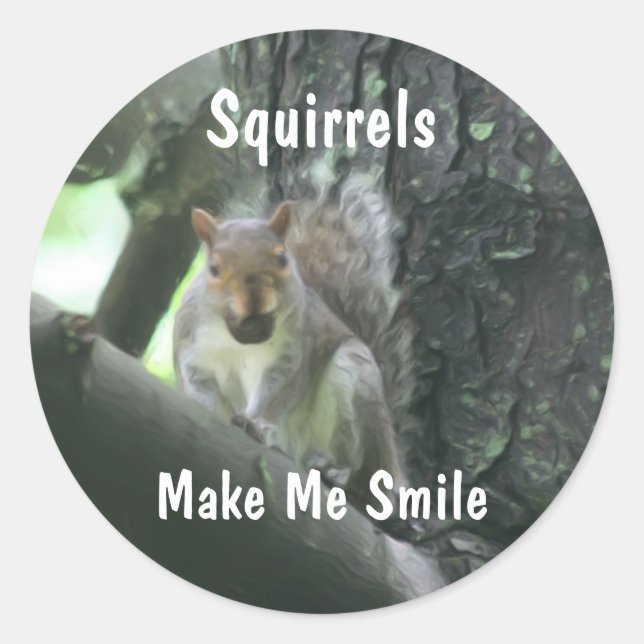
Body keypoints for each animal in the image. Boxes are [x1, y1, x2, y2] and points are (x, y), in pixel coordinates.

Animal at [173, 180, 411, 502]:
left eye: (282, 258)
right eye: (214, 268)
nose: (255, 304)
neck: (240, 340)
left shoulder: (293, 353)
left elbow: (279, 391)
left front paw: (256, 424)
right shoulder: (191, 349)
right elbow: (198, 386)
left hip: (357, 382)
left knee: (366, 473)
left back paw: (340, 472)